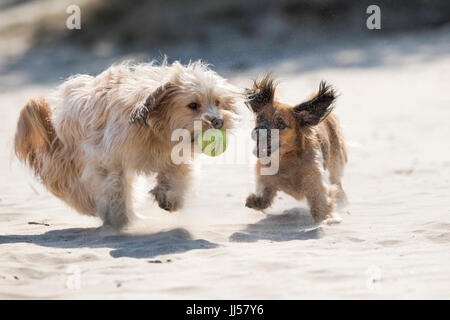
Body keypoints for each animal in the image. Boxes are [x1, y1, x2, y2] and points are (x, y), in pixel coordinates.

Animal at [14, 60, 241, 230]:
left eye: (217, 102)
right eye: (193, 105)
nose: (218, 121)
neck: (156, 131)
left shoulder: (173, 158)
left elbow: (178, 176)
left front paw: (169, 198)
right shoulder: (108, 161)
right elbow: (116, 188)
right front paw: (120, 219)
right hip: (68, 160)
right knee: (71, 186)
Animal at [246, 76, 348, 224]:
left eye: (281, 124)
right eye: (259, 118)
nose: (258, 132)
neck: (285, 158)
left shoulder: (315, 181)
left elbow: (320, 201)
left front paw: (326, 217)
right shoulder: (265, 177)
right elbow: (265, 194)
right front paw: (256, 201)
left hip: (336, 160)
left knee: (337, 181)